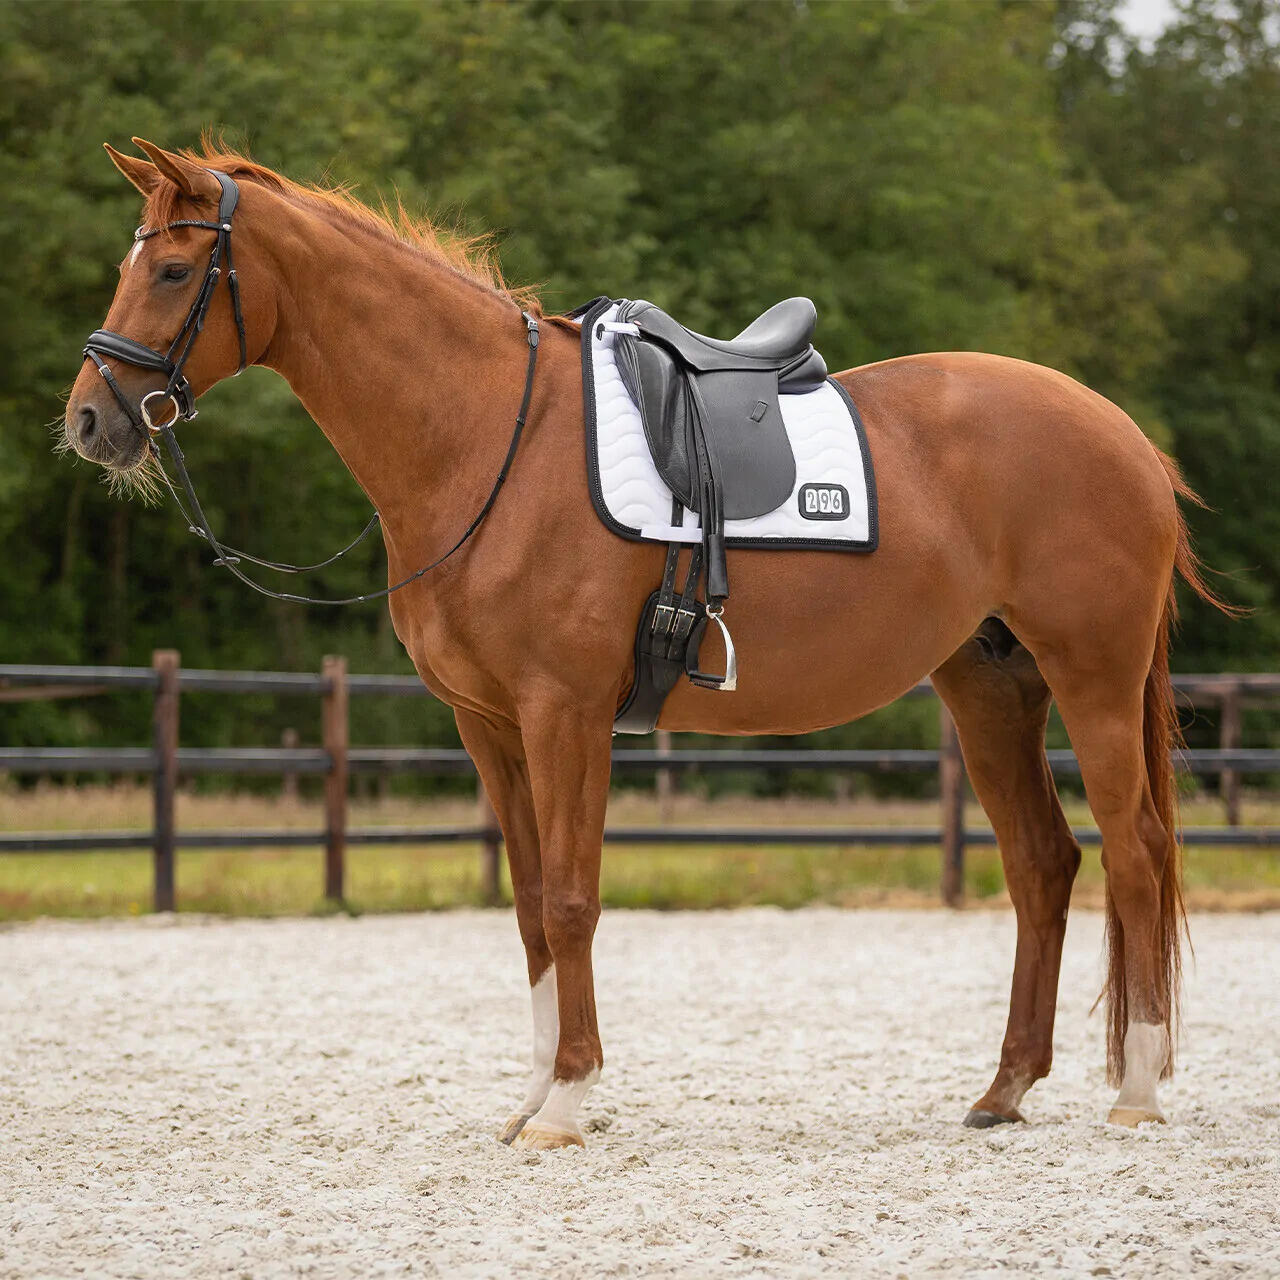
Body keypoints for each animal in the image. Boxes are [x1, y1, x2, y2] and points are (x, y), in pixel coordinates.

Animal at [64, 139, 1231, 1151]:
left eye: (173, 269)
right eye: (129, 265)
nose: (88, 422)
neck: (489, 439)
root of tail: (1124, 437)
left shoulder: (566, 713)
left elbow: (574, 897)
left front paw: (568, 1100)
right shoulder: (489, 725)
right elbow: (531, 905)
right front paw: (533, 1094)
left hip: (1091, 676)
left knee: (1134, 850)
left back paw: (1134, 1091)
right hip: (987, 682)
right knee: (1042, 861)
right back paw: (1003, 1089)